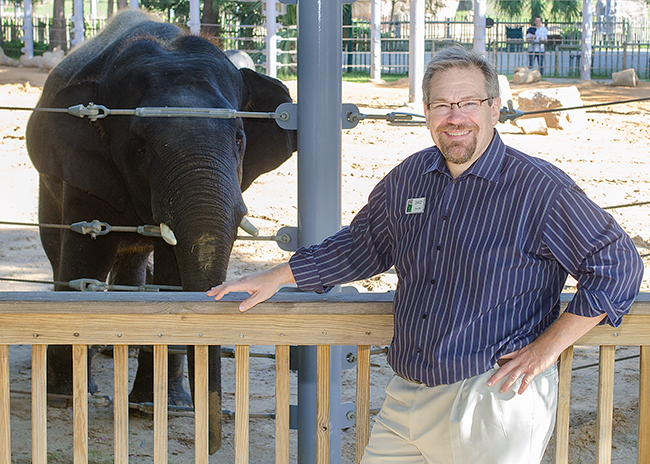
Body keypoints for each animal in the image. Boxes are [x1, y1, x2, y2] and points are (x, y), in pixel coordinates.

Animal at [25, 8, 298, 454]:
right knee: (59, 253)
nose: (211, 444)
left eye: (240, 138)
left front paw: (162, 409)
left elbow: (172, 274)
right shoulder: (85, 171)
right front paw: (65, 399)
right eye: (137, 148)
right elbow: (85, 256)